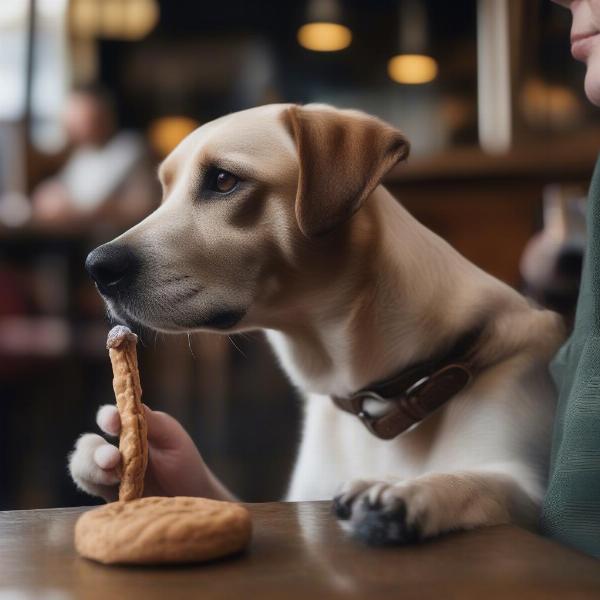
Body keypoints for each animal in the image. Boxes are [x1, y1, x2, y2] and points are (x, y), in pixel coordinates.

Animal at [68, 105, 564, 548]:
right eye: (164, 192)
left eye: (223, 181)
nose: (96, 268)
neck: (381, 394)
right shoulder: (296, 494)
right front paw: (133, 458)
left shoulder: (525, 486)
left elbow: (480, 483)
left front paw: (408, 491)